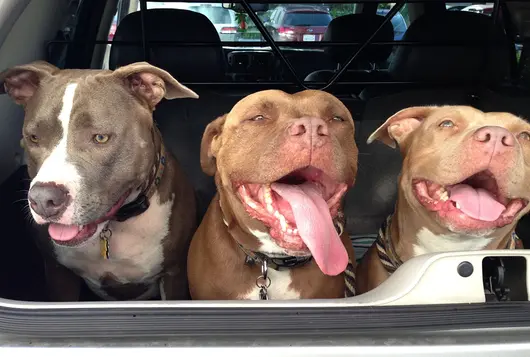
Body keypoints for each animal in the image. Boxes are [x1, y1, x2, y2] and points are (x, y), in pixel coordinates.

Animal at [1, 60, 198, 300]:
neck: (112, 228)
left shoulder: (173, 274)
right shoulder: (58, 272)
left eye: (101, 138)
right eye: (34, 138)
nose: (43, 200)